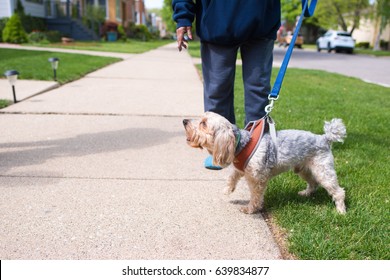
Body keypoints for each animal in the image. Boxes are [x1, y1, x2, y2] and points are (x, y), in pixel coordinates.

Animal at [184, 111, 348, 214]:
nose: (184, 121)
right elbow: (232, 177)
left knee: (338, 191)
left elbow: (256, 196)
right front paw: (228, 189)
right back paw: (305, 193)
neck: (242, 145)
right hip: (304, 169)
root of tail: (325, 138)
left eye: (203, 123)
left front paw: (250, 209)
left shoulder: (257, 179)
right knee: (313, 184)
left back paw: (341, 211)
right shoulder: (240, 169)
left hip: (323, 171)